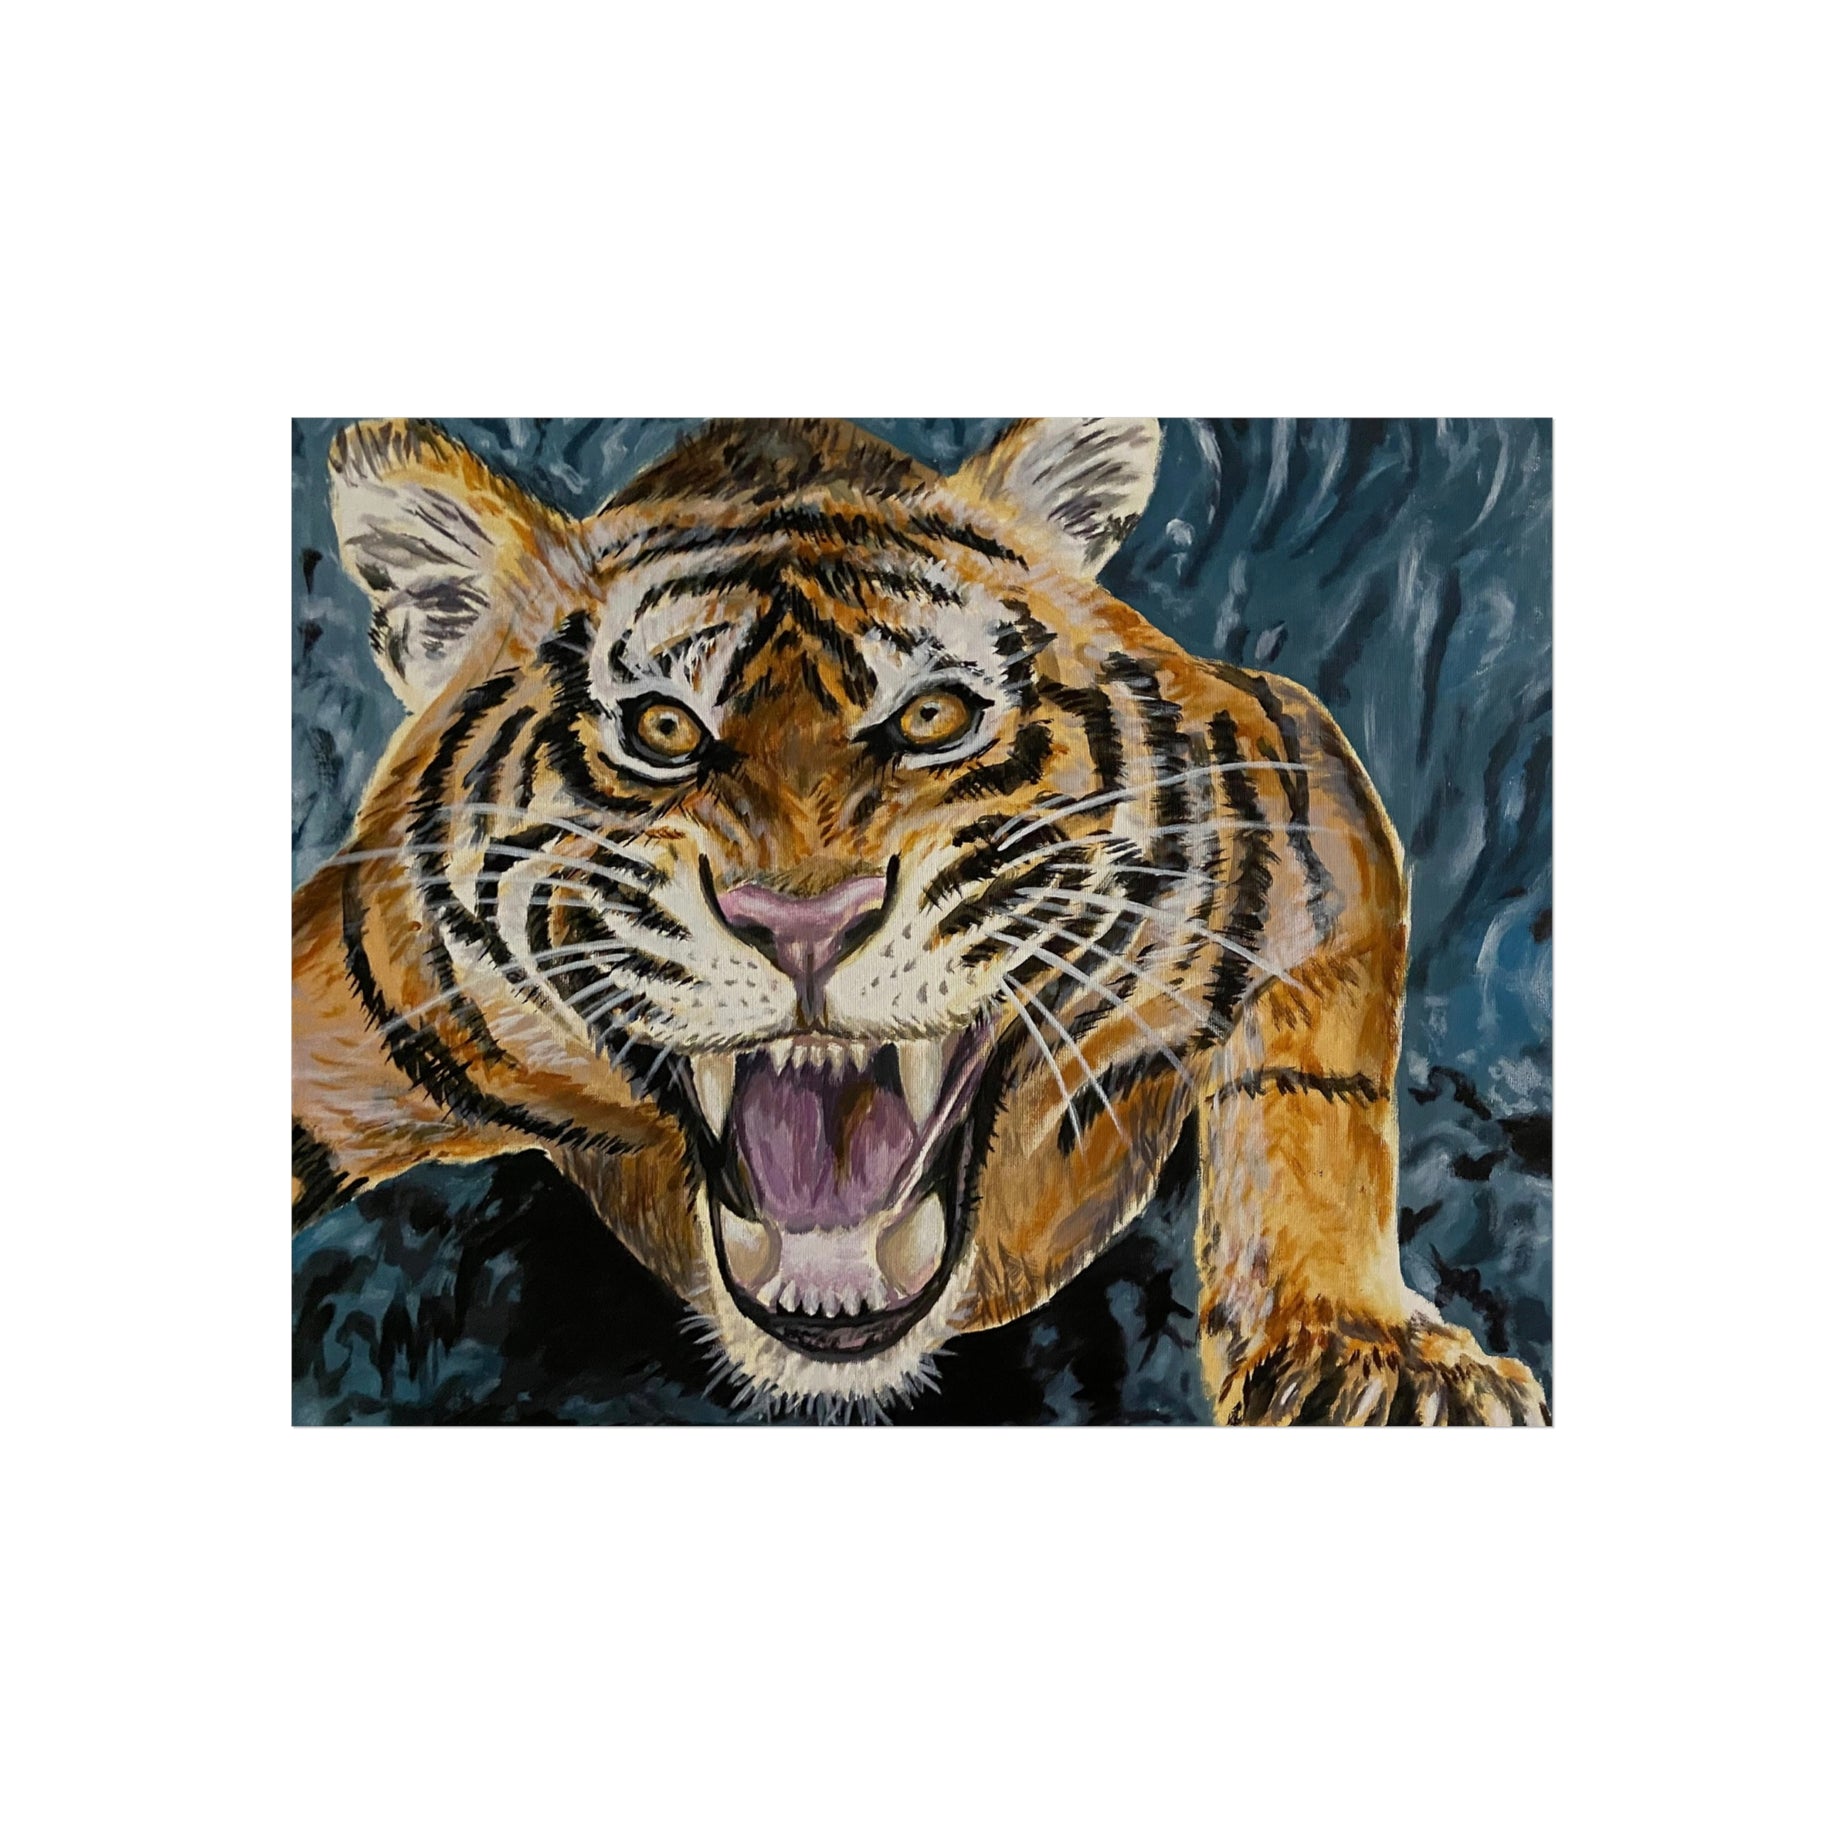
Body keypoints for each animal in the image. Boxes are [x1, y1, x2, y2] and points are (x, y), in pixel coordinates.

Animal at [291, 415, 1548, 1425]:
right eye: (661, 729)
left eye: (932, 716)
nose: (802, 920)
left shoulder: (1299, 781)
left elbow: (1314, 1098)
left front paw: (1373, 1360)